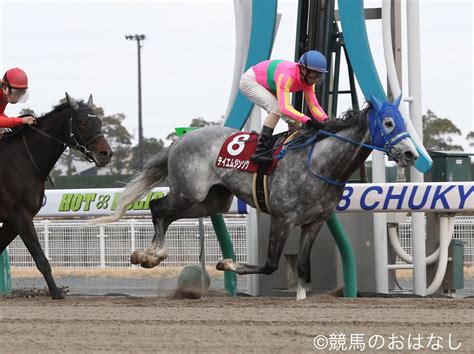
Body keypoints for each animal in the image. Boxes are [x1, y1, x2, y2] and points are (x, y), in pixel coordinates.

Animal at [0, 93, 112, 298]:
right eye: (83, 122)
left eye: (99, 121)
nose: (106, 154)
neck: (22, 160)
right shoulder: (20, 216)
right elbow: (41, 259)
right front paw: (57, 293)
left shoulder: (13, 221)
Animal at [95, 96, 418, 298]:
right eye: (388, 123)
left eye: (403, 122)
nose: (410, 154)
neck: (319, 162)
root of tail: (181, 139)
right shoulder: (282, 218)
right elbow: (271, 264)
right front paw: (227, 264)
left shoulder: (314, 222)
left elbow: (303, 267)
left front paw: (302, 299)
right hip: (189, 192)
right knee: (158, 207)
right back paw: (151, 255)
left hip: (212, 201)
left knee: (166, 212)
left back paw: (148, 255)